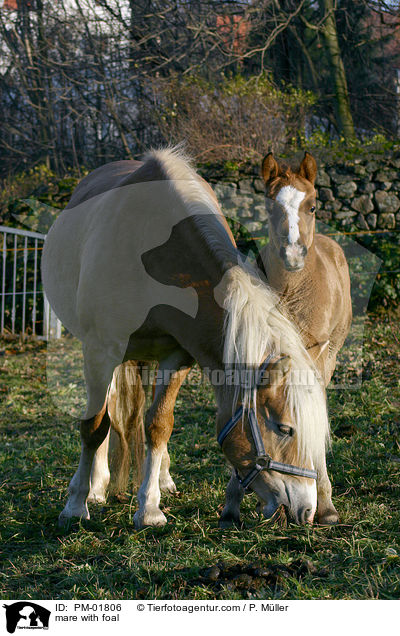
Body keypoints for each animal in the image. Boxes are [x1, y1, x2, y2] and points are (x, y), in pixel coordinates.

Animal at [42, 148, 332, 528]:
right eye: (285, 429)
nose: (308, 510)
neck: (153, 253)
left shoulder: (178, 354)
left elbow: (159, 425)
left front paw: (149, 509)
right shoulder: (100, 352)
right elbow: (93, 426)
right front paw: (76, 505)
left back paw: (162, 479)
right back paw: (96, 486)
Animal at [220, 153, 352, 528]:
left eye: (312, 205)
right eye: (269, 206)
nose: (293, 254)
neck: (292, 291)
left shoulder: (313, 356)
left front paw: (325, 506)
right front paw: (233, 503)